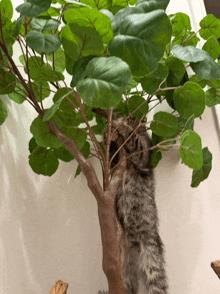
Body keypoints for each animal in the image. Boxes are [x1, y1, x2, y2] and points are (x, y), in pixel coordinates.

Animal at [104, 116, 168, 294]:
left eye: (131, 119)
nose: (119, 117)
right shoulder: (115, 162)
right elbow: (112, 154)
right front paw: (107, 133)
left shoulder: (143, 154)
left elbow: (133, 138)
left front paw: (120, 127)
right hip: (124, 264)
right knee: (128, 283)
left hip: (151, 259)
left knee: (157, 284)